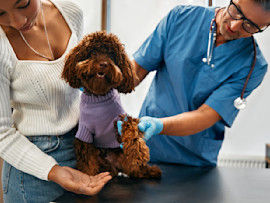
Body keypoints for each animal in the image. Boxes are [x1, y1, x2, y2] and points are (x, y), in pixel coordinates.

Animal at [61, 30, 161, 178]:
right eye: (93, 52)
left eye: (112, 56)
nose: (103, 64)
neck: (99, 97)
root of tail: (114, 166)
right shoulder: (84, 133)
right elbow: (87, 161)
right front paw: (88, 177)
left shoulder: (121, 118)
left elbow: (132, 130)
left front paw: (138, 153)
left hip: (128, 163)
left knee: (139, 171)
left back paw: (152, 170)